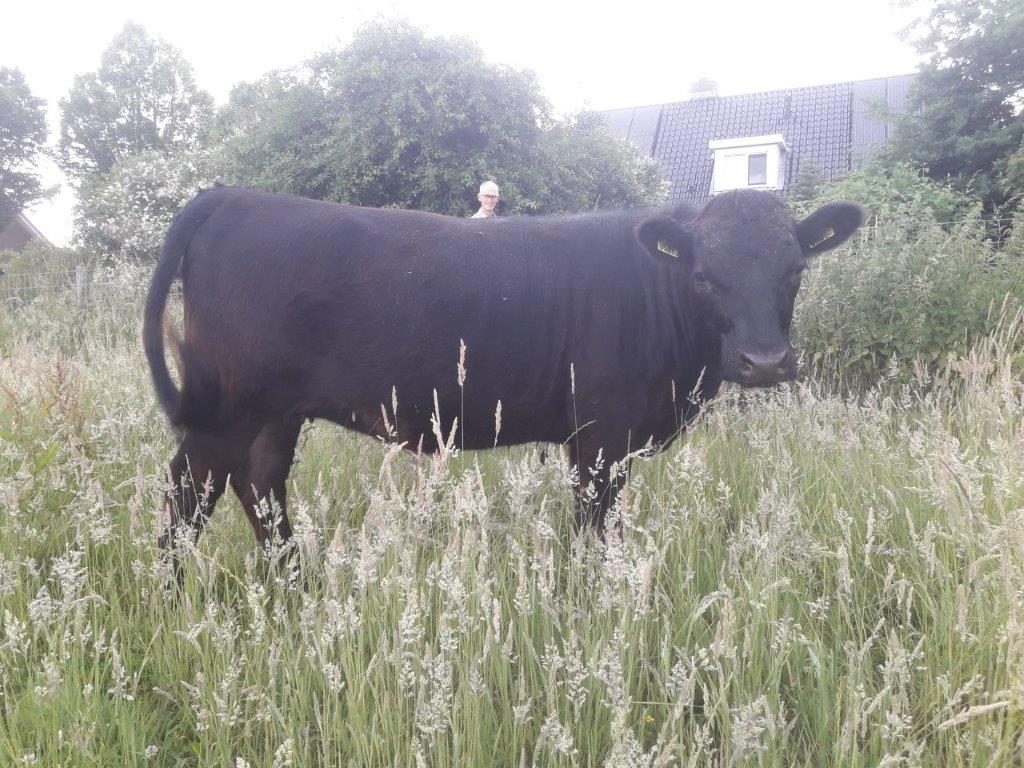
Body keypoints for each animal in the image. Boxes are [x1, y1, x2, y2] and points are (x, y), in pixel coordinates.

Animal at [143, 185, 862, 556]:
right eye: (705, 277)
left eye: (795, 271)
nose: (763, 361)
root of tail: (239, 195)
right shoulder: (601, 436)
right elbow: (593, 527)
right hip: (227, 405)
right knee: (191, 491)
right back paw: (174, 597)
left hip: (273, 412)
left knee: (258, 486)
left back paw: (292, 584)